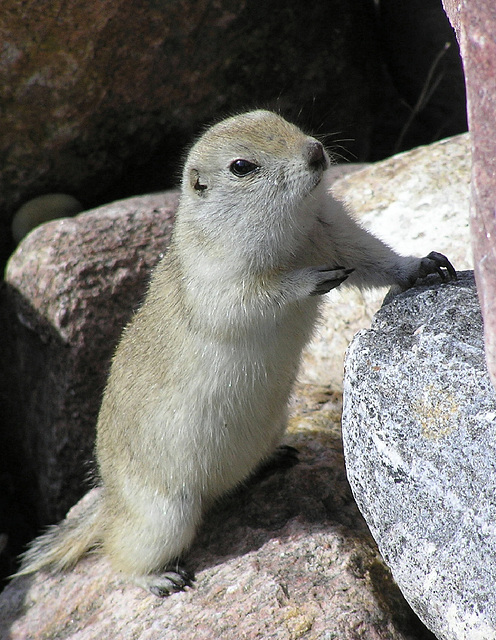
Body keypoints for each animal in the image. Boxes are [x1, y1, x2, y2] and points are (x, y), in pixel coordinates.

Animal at [14, 109, 458, 596]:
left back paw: (274, 461)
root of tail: (110, 501)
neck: (293, 226)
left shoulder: (337, 231)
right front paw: (308, 279)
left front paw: (424, 265)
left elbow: (373, 257)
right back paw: (160, 578)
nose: (315, 152)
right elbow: (250, 299)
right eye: (241, 167)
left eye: (278, 117)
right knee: (118, 552)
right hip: (164, 516)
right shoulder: (218, 280)